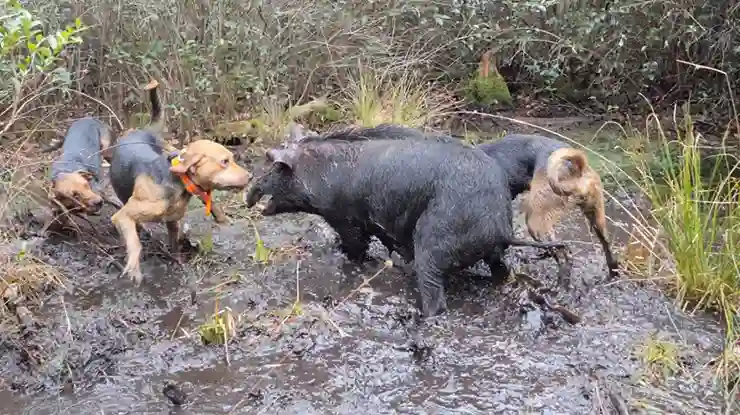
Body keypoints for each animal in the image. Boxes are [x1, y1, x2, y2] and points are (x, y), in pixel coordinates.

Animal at [107, 79, 251, 286]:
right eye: (225, 161)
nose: (251, 177)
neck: (178, 185)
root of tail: (143, 130)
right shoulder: (122, 216)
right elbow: (135, 243)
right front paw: (134, 268)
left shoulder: (173, 221)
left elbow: (174, 244)